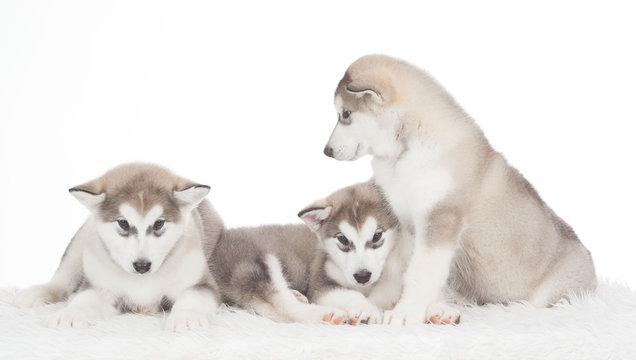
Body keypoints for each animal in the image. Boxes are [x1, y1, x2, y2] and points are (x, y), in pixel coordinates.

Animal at [13, 162, 224, 330]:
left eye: (158, 224)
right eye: (123, 223)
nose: (142, 266)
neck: (142, 282)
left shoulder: (201, 283)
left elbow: (192, 298)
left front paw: (186, 317)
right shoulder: (100, 287)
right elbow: (85, 299)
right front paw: (70, 313)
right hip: (82, 238)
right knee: (63, 277)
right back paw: (39, 292)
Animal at [296, 181, 408, 324]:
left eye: (377, 236)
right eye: (343, 239)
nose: (362, 276)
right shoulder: (320, 282)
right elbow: (349, 293)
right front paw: (365, 309)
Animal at [322, 54, 596, 326]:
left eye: (345, 114)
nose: (327, 151)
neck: (406, 152)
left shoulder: (441, 220)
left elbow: (420, 273)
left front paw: (406, 311)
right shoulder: (408, 227)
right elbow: (405, 271)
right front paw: (382, 304)